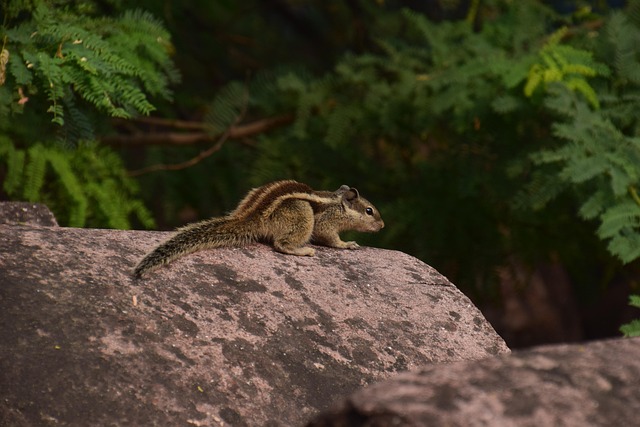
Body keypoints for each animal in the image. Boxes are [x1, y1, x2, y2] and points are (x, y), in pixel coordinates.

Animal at [133, 180, 384, 277]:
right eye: (369, 211)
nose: (382, 225)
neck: (337, 203)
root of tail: (251, 215)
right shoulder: (325, 222)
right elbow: (330, 238)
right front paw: (347, 244)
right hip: (302, 214)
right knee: (282, 244)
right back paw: (303, 250)